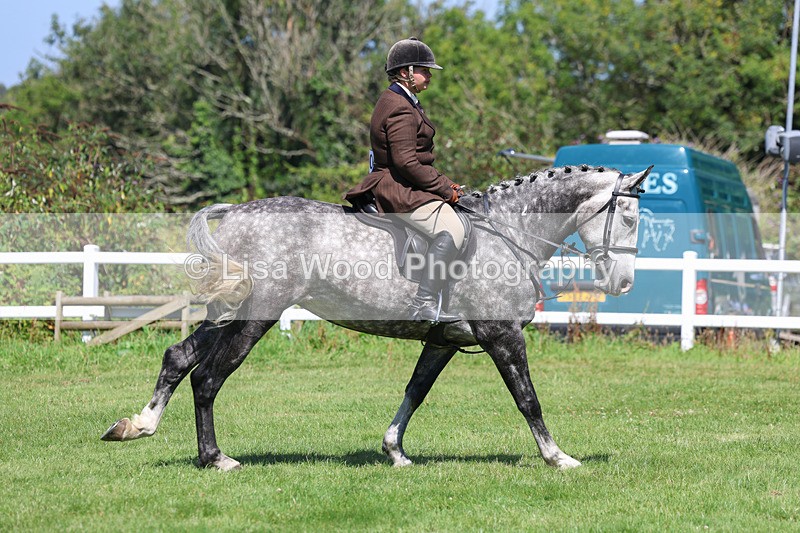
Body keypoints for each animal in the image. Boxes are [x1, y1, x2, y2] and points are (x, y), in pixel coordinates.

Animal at [101, 165, 651, 471]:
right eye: (628, 217)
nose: (623, 283)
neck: (508, 233)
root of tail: (236, 211)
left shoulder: (445, 340)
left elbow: (415, 391)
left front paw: (395, 452)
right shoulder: (501, 336)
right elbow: (528, 400)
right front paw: (558, 458)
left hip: (227, 314)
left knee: (178, 357)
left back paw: (137, 426)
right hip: (254, 319)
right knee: (209, 377)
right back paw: (216, 459)